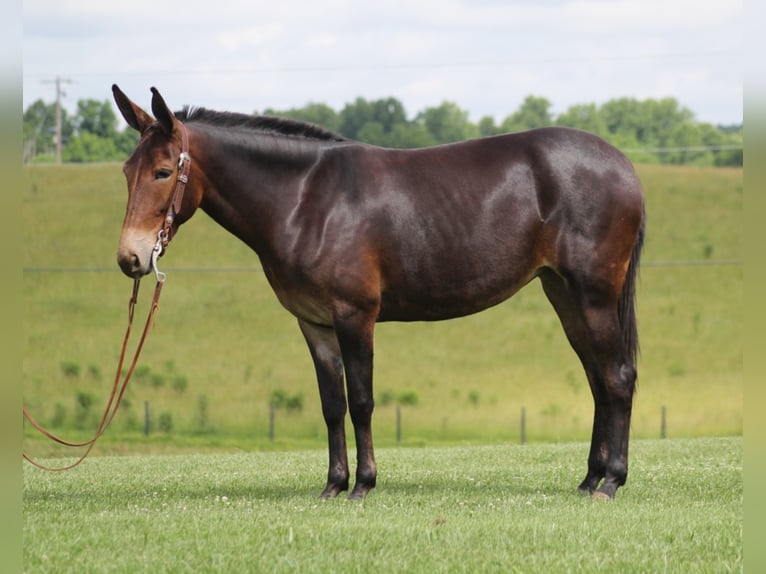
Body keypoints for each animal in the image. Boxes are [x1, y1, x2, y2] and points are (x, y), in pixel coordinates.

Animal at [111, 84, 644, 500]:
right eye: (126, 171)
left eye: (163, 171)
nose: (130, 258)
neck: (307, 200)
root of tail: (623, 165)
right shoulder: (315, 323)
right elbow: (332, 405)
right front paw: (333, 484)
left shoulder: (355, 315)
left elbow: (363, 400)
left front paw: (364, 484)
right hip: (564, 293)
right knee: (598, 379)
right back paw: (589, 479)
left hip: (594, 293)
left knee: (617, 377)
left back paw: (612, 482)